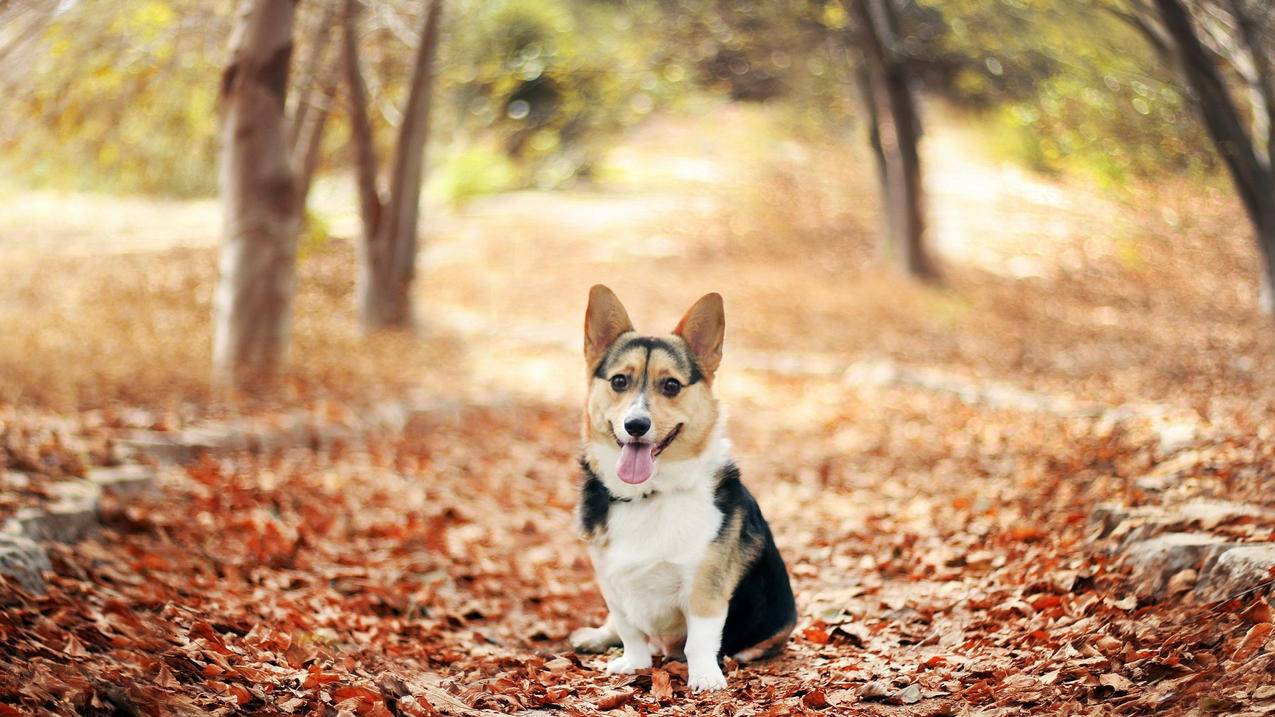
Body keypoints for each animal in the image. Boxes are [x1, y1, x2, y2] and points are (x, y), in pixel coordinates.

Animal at [571, 285, 790, 694]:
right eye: (619, 381)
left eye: (671, 385)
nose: (636, 425)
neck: (649, 494)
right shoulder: (612, 582)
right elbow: (629, 630)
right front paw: (633, 663)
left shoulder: (705, 587)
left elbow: (700, 639)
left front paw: (705, 677)